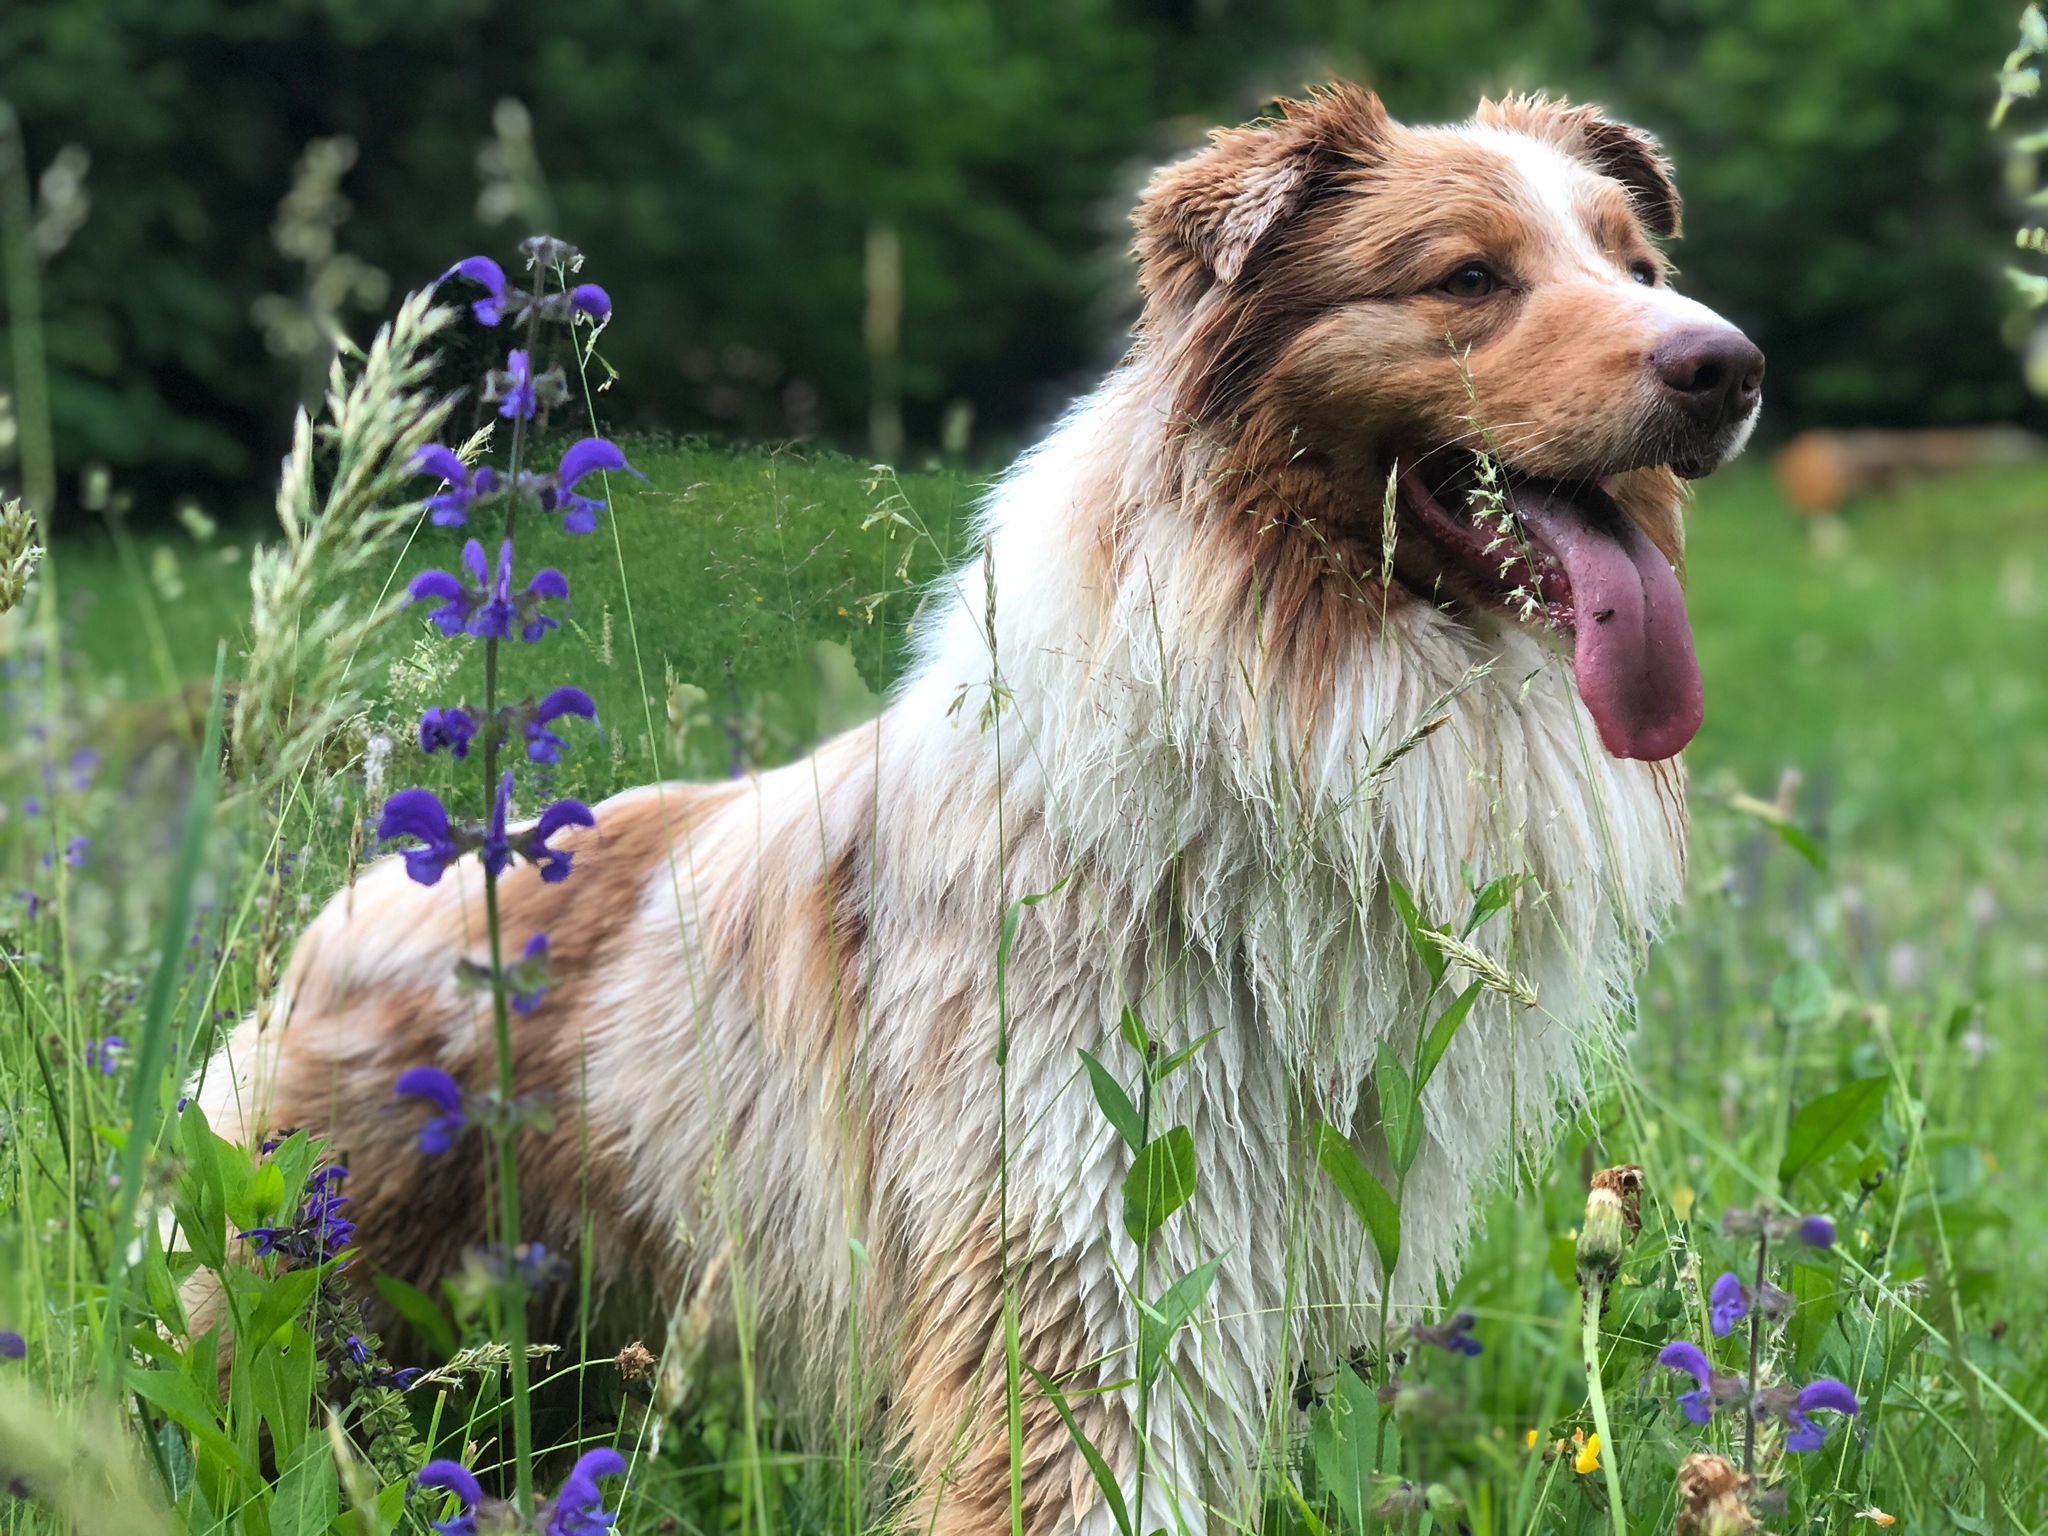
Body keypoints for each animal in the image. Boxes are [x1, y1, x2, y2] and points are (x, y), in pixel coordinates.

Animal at [203, 87, 1761, 1536]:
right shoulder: (1073, 1242)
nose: (1729, 366)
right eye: (1468, 278)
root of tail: (391, 880)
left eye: (1635, 264)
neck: (1286, 680)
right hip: (335, 1285)